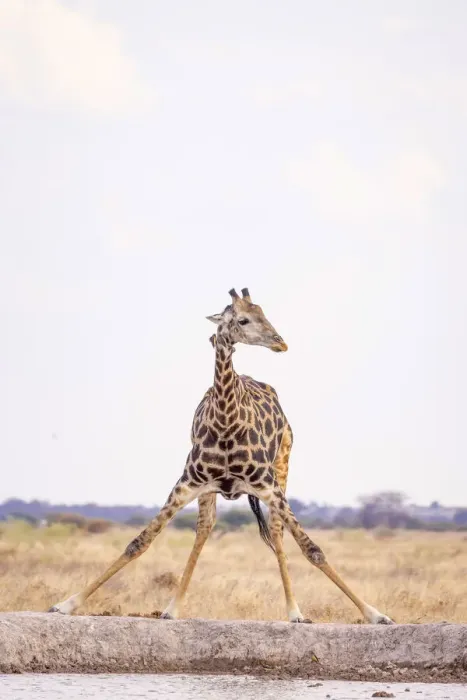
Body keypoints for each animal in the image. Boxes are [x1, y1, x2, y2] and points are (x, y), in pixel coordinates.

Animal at [48, 288, 393, 625]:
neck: (227, 422)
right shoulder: (186, 484)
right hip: (210, 490)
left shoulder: (268, 486)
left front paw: (375, 614)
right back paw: (173, 608)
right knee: (205, 528)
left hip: (282, 466)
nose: (280, 342)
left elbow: (313, 548)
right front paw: (66, 604)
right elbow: (139, 542)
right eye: (242, 320)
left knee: (277, 533)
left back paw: (294, 612)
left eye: (263, 313)